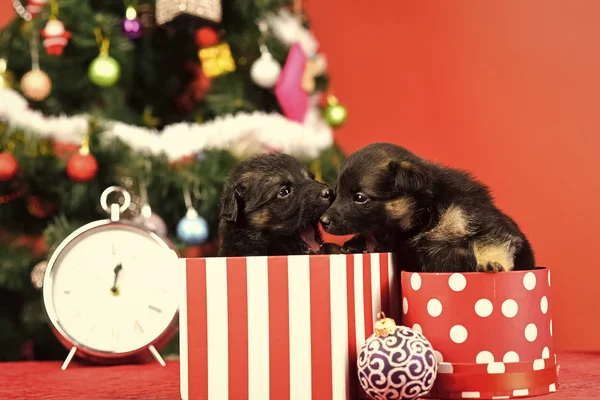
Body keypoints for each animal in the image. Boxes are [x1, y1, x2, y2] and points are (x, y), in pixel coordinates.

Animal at [322, 142, 536, 274]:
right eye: (335, 193)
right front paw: (353, 244)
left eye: (360, 198)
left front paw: (492, 264)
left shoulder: (479, 218)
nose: (323, 221)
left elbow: (491, 242)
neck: (426, 214)